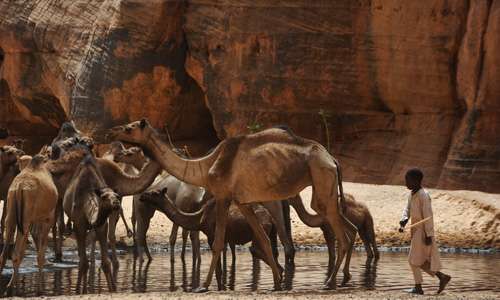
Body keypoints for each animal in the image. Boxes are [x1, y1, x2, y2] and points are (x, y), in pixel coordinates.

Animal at [0, 154, 57, 290]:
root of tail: (19, 187)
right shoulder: (47, 219)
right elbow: (40, 254)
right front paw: (41, 286)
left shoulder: (31, 220)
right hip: (26, 217)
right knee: (16, 253)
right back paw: (12, 285)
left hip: (13, 212)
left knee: (5, 252)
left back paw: (11, 284)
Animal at [63, 155, 121, 292]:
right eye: (104, 197)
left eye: (117, 195)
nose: (116, 203)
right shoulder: (79, 225)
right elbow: (83, 262)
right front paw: (78, 291)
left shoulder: (101, 226)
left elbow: (106, 262)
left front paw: (113, 289)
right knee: (82, 258)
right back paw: (83, 289)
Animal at [140, 189, 282, 290]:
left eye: (154, 193)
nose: (142, 196)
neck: (199, 219)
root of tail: (271, 220)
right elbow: (219, 270)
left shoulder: (210, 236)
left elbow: (218, 270)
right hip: (272, 233)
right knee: (271, 251)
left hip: (260, 231)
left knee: (256, 249)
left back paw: (278, 279)